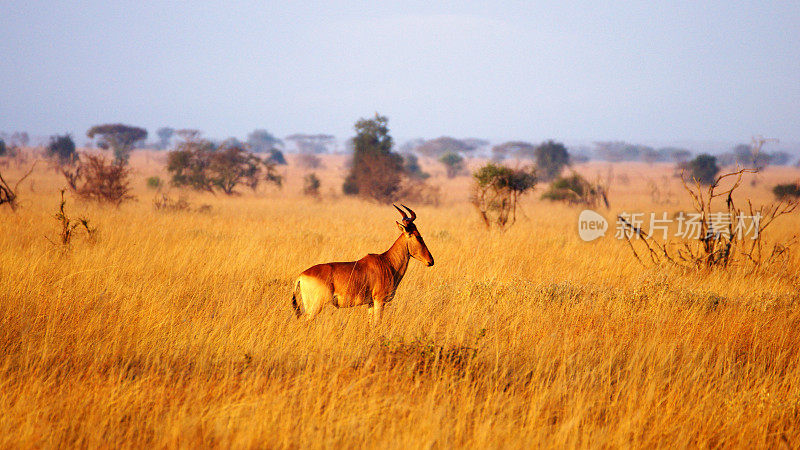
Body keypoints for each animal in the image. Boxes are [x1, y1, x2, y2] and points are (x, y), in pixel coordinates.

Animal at [290, 204, 434, 324]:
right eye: (417, 236)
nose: (430, 261)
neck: (386, 262)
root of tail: (301, 276)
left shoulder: (370, 303)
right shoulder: (379, 300)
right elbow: (377, 324)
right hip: (315, 306)